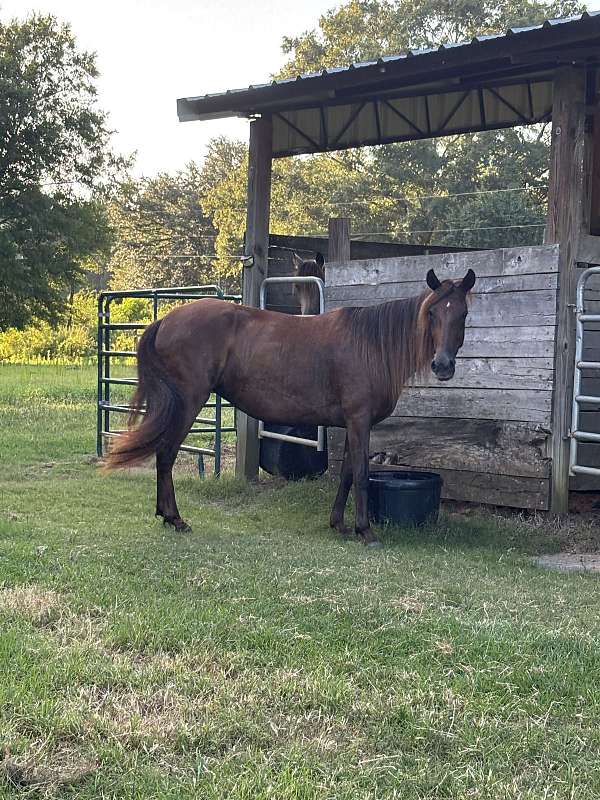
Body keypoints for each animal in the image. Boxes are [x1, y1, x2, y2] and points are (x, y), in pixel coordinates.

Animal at [104, 267, 476, 546]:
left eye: (462, 313)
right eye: (432, 312)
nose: (443, 365)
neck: (370, 346)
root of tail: (166, 320)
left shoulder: (352, 424)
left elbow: (346, 474)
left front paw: (339, 524)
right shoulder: (360, 420)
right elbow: (361, 473)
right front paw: (366, 531)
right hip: (187, 403)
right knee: (166, 454)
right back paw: (175, 518)